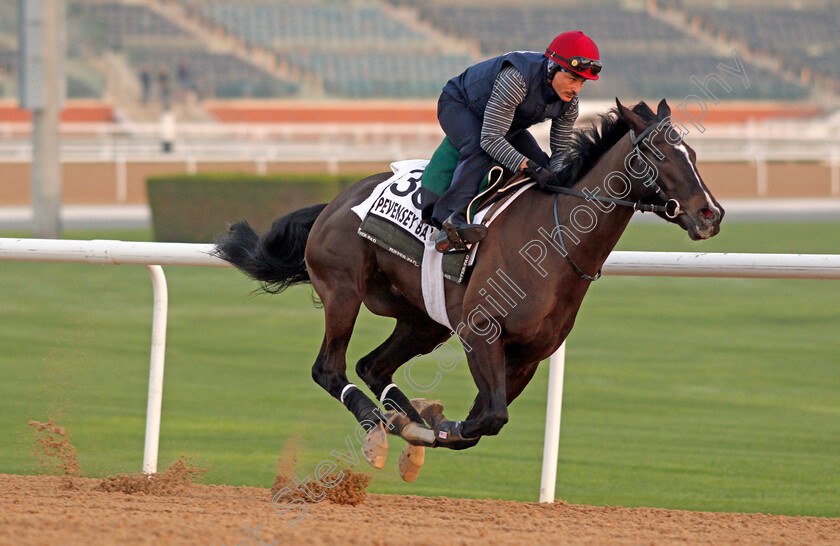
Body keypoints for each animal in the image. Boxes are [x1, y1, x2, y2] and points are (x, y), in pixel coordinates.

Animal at [215, 98, 720, 476]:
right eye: (659, 155)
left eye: (693, 156)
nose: (711, 213)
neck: (553, 239)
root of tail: (335, 201)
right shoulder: (481, 330)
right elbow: (490, 417)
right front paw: (436, 426)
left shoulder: (529, 355)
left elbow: (485, 419)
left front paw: (431, 423)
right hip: (343, 292)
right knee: (329, 368)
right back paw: (379, 427)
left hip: (423, 320)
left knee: (372, 365)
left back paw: (406, 423)